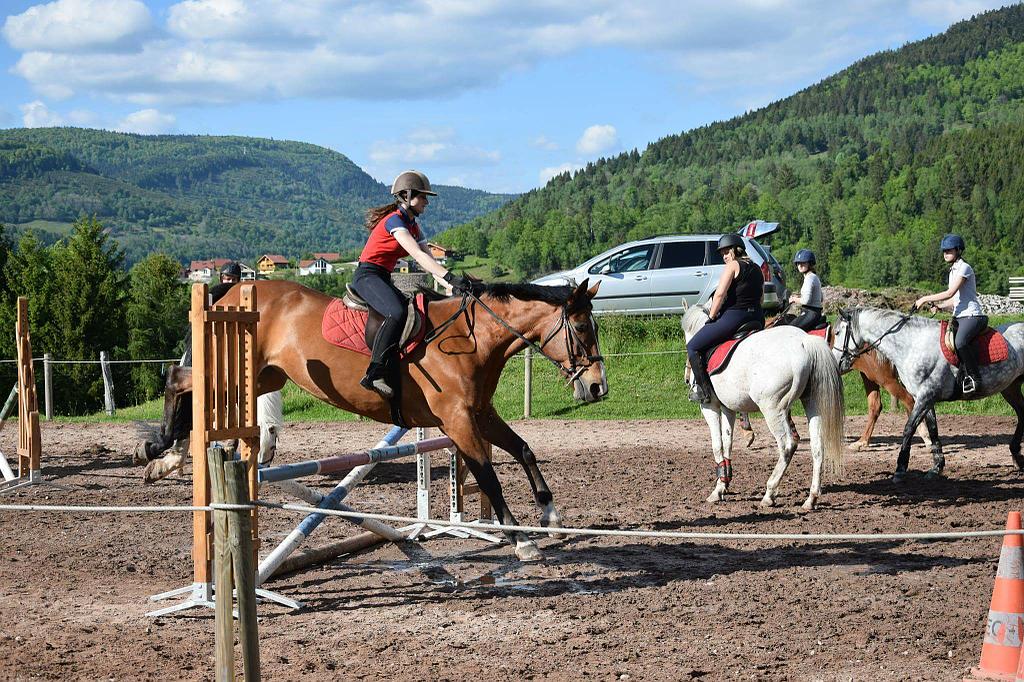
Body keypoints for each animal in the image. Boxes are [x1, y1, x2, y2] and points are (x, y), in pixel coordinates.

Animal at [140, 276, 602, 557]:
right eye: (582, 329)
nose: (598, 388)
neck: (471, 340)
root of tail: (231, 291)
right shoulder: (457, 421)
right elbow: (489, 476)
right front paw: (522, 540)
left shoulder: (479, 414)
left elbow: (523, 450)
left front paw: (550, 517)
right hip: (233, 373)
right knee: (178, 379)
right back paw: (159, 449)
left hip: (263, 379)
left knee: (191, 395)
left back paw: (164, 453)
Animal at [684, 305, 843, 507]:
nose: (686, 378)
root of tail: (804, 342)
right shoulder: (728, 408)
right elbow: (727, 443)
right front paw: (724, 483)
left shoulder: (709, 407)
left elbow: (717, 445)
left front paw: (717, 490)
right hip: (812, 403)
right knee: (817, 446)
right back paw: (811, 498)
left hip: (773, 409)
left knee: (787, 445)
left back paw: (769, 493)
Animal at [831, 305, 1024, 481]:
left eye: (838, 333)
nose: (836, 363)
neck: (911, 344)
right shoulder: (924, 397)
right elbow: (933, 430)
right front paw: (937, 467)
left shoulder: (925, 396)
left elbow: (909, 428)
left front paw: (900, 468)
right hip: (1011, 387)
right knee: (1022, 414)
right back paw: (1016, 455)